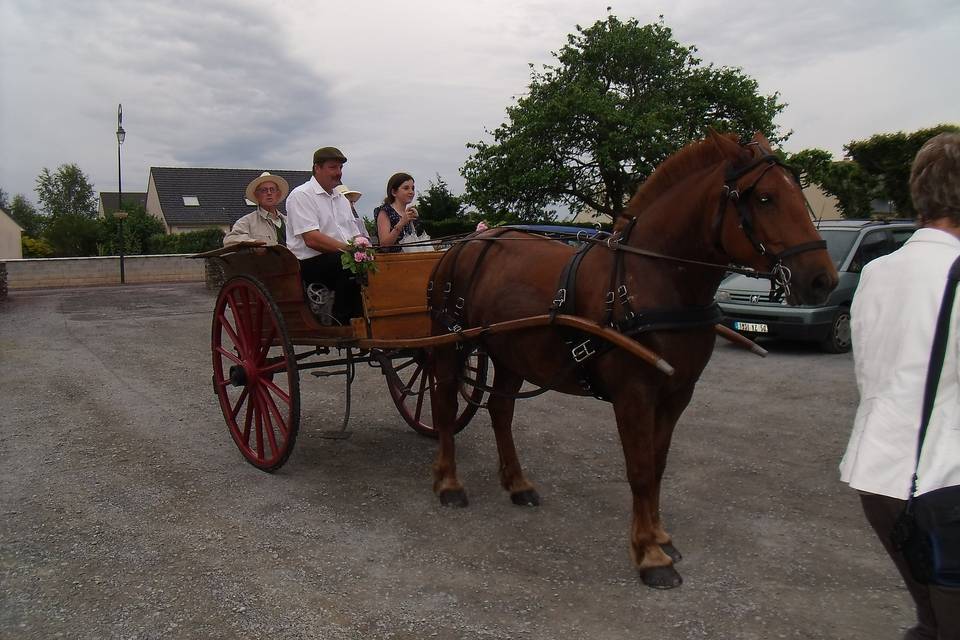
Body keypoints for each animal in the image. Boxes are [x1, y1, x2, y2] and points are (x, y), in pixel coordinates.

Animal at [428, 132, 840, 588]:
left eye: (798, 192)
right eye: (765, 198)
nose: (822, 280)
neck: (648, 281)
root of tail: (465, 244)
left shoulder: (677, 394)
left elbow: (657, 464)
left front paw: (660, 537)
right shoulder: (634, 394)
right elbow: (640, 468)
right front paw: (649, 555)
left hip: (509, 352)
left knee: (501, 412)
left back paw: (517, 483)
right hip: (450, 343)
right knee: (444, 406)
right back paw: (449, 483)